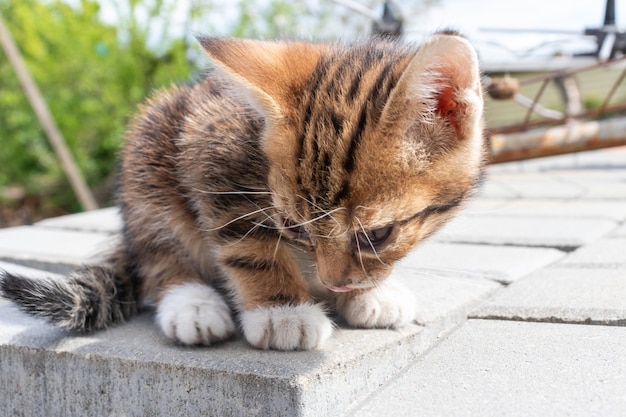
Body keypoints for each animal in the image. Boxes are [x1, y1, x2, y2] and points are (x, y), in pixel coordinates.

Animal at [0, 32, 482, 350]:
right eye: (293, 227)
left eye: (378, 236)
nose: (334, 281)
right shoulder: (211, 150)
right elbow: (248, 246)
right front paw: (283, 312)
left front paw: (368, 292)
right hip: (148, 154)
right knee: (158, 248)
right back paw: (191, 303)